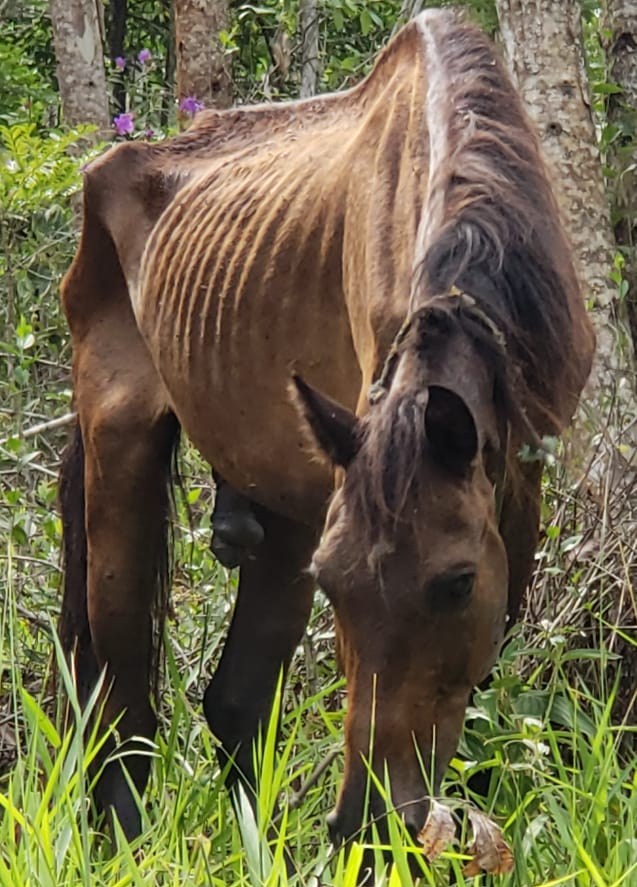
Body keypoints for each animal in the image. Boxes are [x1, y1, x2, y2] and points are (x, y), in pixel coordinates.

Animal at [57, 6, 592, 852]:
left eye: (454, 583)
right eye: (336, 586)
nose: (365, 817)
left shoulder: (514, 483)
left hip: (285, 504)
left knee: (234, 702)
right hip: (120, 450)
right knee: (124, 699)